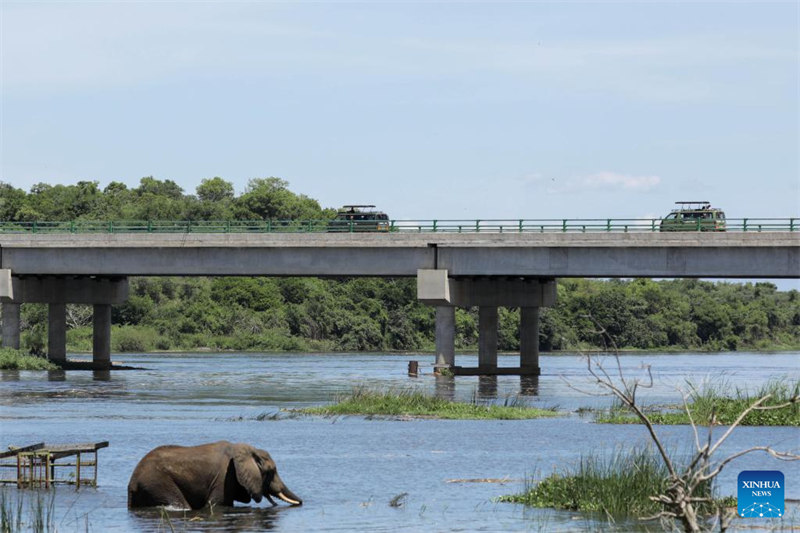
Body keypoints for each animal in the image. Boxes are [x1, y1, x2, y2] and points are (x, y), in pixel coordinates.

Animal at [128, 438, 304, 510]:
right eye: (272, 471)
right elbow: (218, 504)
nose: (301, 503)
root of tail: (133, 481)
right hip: (158, 483)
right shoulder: (225, 477)